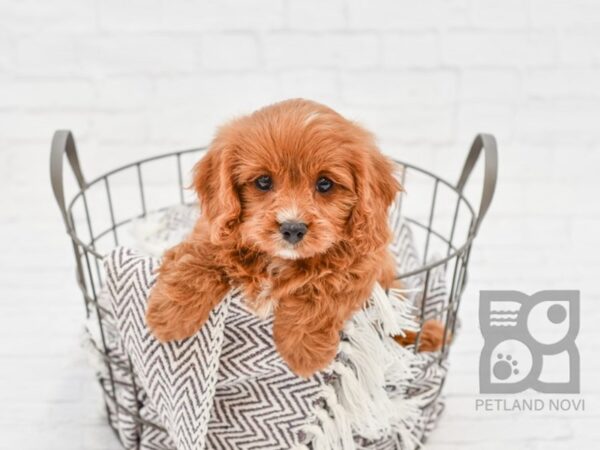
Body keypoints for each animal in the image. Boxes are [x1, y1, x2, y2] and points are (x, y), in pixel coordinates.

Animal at [146, 98, 442, 376]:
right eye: (263, 181)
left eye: (325, 184)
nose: (292, 228)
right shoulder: (211, 230)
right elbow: (198, 258)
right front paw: (170, 316)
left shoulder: (362, 260)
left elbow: (325, 288)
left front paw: (304, 352)